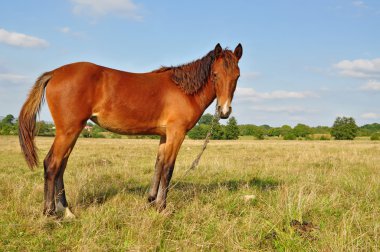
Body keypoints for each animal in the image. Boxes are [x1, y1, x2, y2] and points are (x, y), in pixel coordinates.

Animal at [17, 43, 242, 217]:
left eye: (237, 76)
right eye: (215, 74)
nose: (224, 111)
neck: (184, 90)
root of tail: (55, 73)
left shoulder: (164, 136)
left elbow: (158, 165)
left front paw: (151, 200)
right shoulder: (176, 134)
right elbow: (168, 169)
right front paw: (162, 207)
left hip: (73, 131)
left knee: (61, 165)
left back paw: (67, 210)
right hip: (68, 130)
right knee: (52, 164)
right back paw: (50, 212)